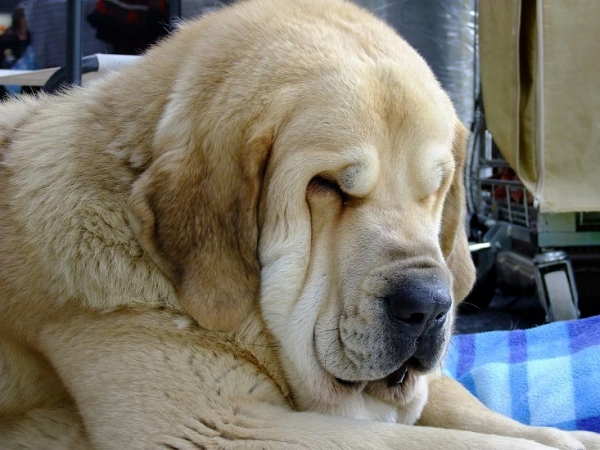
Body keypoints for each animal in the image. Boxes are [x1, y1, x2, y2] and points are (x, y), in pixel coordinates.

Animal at [1, 0, 600, 448]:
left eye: (434, 189)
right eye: (328, 185)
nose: (430, 306)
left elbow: (468, 409)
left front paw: (566, 435)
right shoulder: (217, 425)